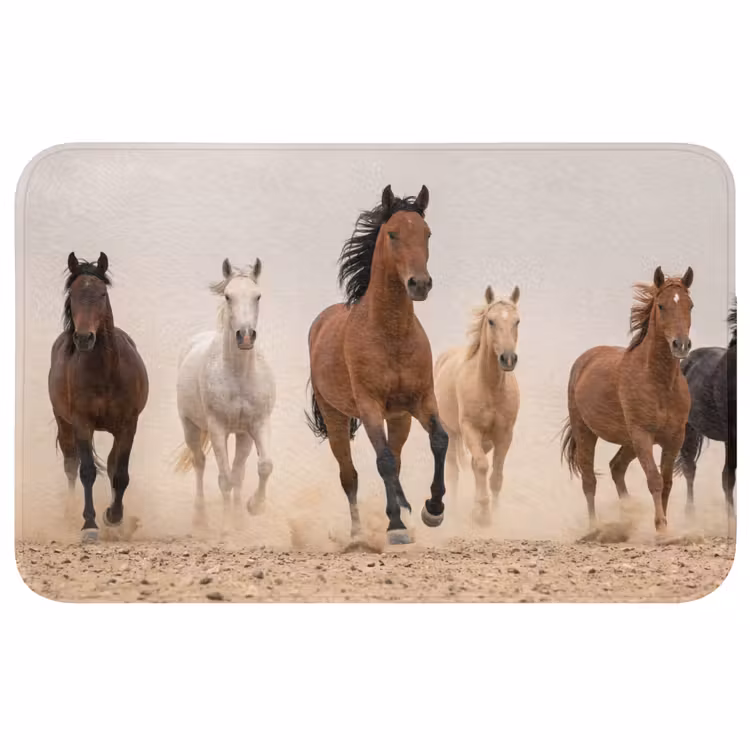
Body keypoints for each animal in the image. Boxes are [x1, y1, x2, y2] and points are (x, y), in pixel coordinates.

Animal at [48, 252, 149, 541]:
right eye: (72, 294)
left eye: (102, 293)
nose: (84, 338)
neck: (106, 371)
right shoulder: (82, 424)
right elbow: (87, 472)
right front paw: (89, 524)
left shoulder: (128, 426)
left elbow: (121, 474)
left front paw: (113, 517)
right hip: (64, 423)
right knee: (71, 465)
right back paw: (71, 514)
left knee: (113, 465)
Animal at [176, 258, 275, 522]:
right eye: (228, 296)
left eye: (258, 296)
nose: (246, 336)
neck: (239, 376)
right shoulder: (218, 428)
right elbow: (225, 480)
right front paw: (227, 525)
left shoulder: (255, 425)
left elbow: (262, 466)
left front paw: (252, 508)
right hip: (191, 427)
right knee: (199, 462)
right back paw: (200, 518)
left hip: (239, 434)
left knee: (236, 472)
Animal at [306, 185, 448, 545]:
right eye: (393, 233)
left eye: (427, 233)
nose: (419, 284)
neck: (391, 334)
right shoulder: (369, 405)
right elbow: (381, 461)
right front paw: (396, 526)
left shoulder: (421, 400)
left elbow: (439, 440)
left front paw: (432, 510)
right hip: (336, 418)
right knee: (350, 475)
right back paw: (359, 534)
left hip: (399, 418)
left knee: (395, 460)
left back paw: (407, 511)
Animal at [434, 285, 521, 527]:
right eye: (491, 321)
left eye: (517, 321)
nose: (508, 359)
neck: (489, 387)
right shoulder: (470, 430)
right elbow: (481, 466)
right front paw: (482, 513)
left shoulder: (504, 435)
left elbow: (496, 476)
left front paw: (493, 512)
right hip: (451, 433)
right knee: (453, 471)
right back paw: (453, 510)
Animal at [561, 266, 694, 534]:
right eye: (661, 305)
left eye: (690, 305)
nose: (681, 345)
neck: (659, 383)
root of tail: (584, 360)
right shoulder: (642, 435)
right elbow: (654, 479)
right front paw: (661, 528)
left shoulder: (674, 438)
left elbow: (666, 482)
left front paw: (665, 527)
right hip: (586, 432)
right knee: (589, 480)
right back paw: (594, 528)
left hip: (628, 442)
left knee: (616, 467)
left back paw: (626, 515)